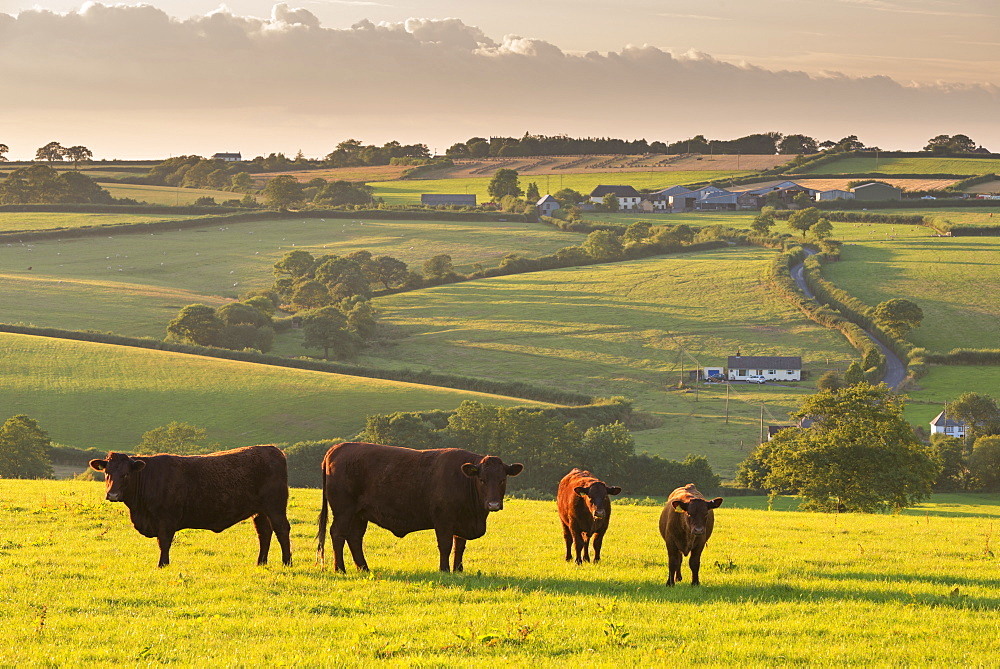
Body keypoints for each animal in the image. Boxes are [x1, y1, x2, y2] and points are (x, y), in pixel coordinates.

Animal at [88, 446, 292, 568]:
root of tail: (273, 450)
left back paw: (286, 562)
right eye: (107, 472)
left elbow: (164, 543)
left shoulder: (166, 520)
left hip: (275, 506)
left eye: (126, 474)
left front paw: (162, 564)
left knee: (282, 529)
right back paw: (261, 563)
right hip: (260, 511)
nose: (112, 494)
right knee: (264, 533)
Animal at [318, 440, 524, 572]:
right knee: (338, 534)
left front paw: (458, 570)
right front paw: (444, 569)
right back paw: (340, 569)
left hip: (359, 514)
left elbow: (459, 546)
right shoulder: (443, 520)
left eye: (502, 479)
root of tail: (339, 447)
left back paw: (364, 568)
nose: (493, 504)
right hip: (344, 510)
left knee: (354, 537)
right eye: (481, 480)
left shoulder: (462, 521)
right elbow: (446, 545)